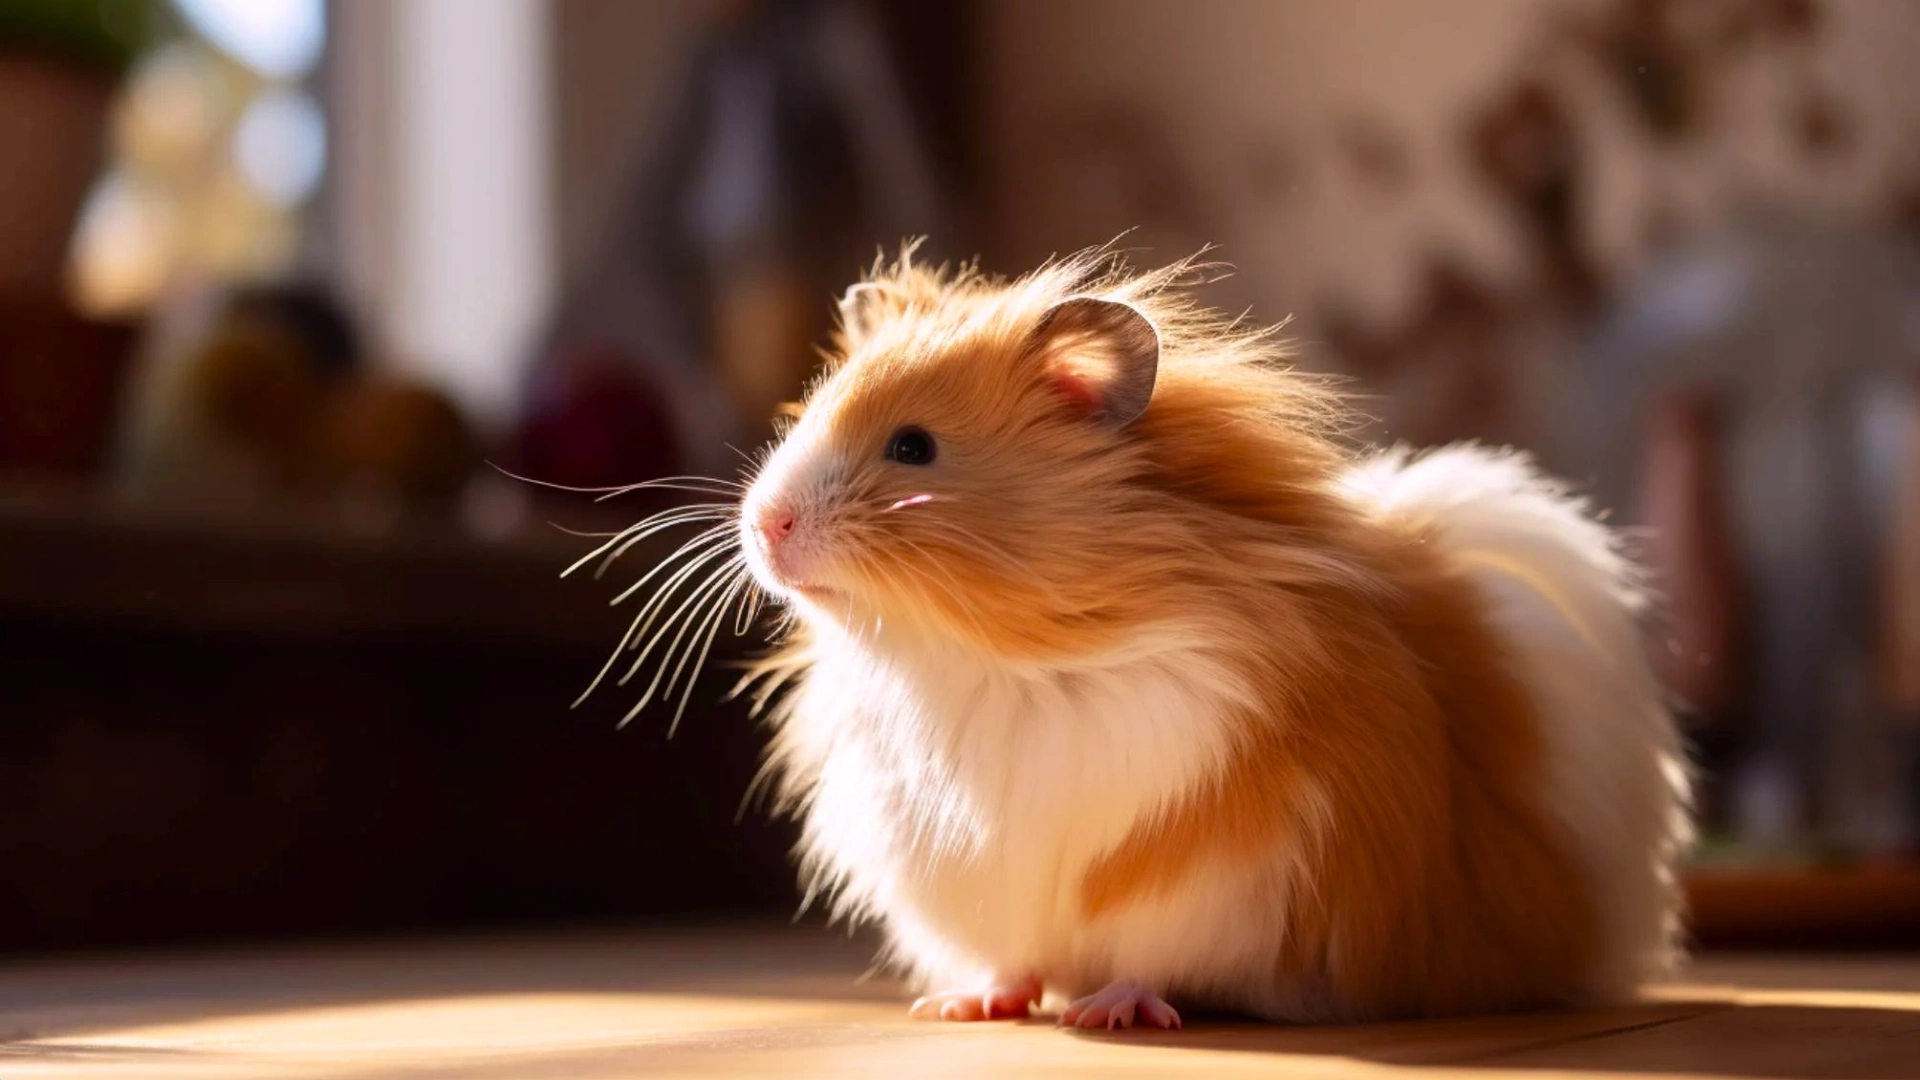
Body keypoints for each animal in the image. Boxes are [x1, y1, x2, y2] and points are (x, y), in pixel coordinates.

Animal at [663, 247, 1691, 1028]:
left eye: (913, 447)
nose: (764, 526)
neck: (996, 658)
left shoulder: (1209, 862)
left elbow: (1152, 949)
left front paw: (1111, 1012)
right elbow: (1015, 955)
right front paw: (968, 1005)